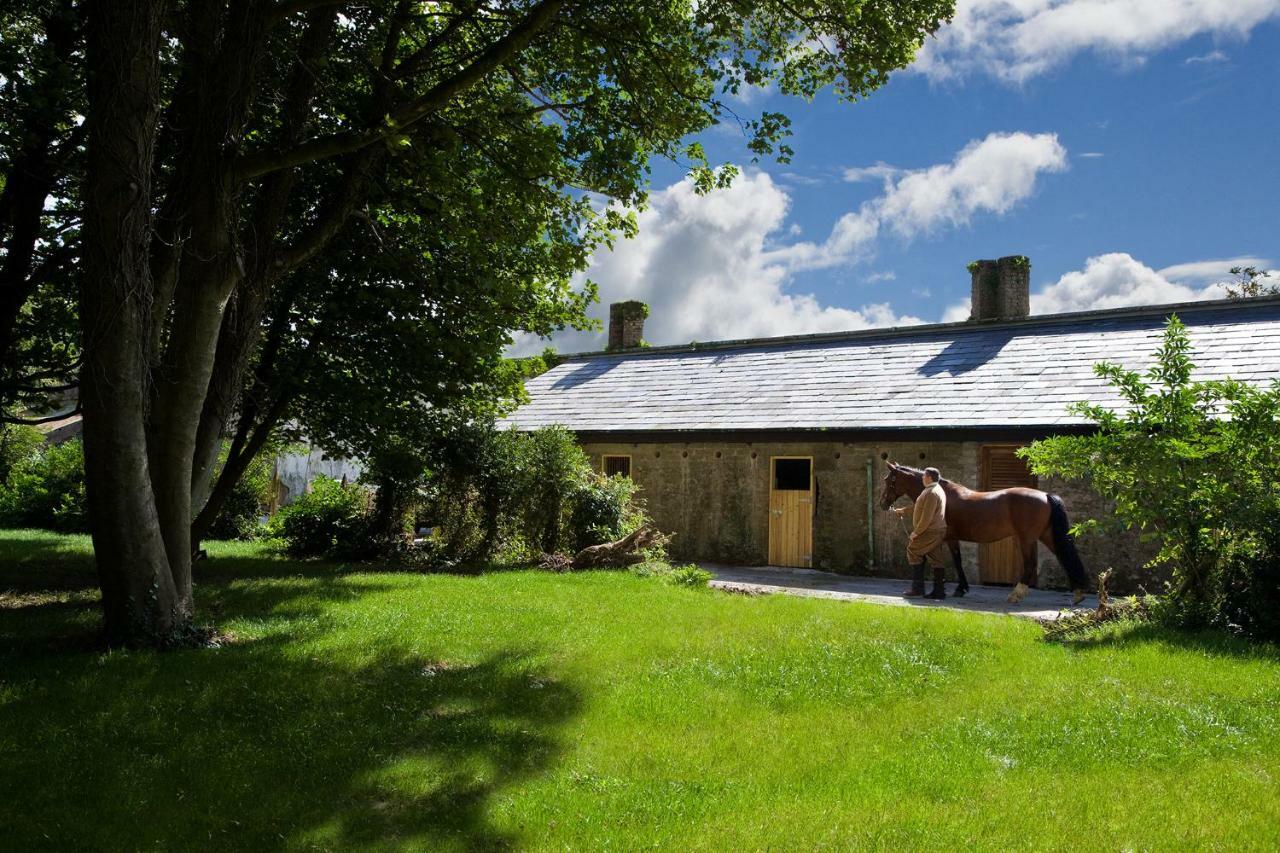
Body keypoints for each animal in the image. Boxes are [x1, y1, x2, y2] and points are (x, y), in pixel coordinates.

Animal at [880, 458, 1090, 604]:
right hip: (1046, 535)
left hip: (1027, 539)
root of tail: (1045, 495)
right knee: (1064, 557)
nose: (882, 504)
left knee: (1031, 564)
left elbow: (956, 561)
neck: (943, 494)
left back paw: (1016, 595)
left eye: (889, 480)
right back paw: (1078, 593)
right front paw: (959, 589)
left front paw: (960, 589)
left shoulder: (949, 538)